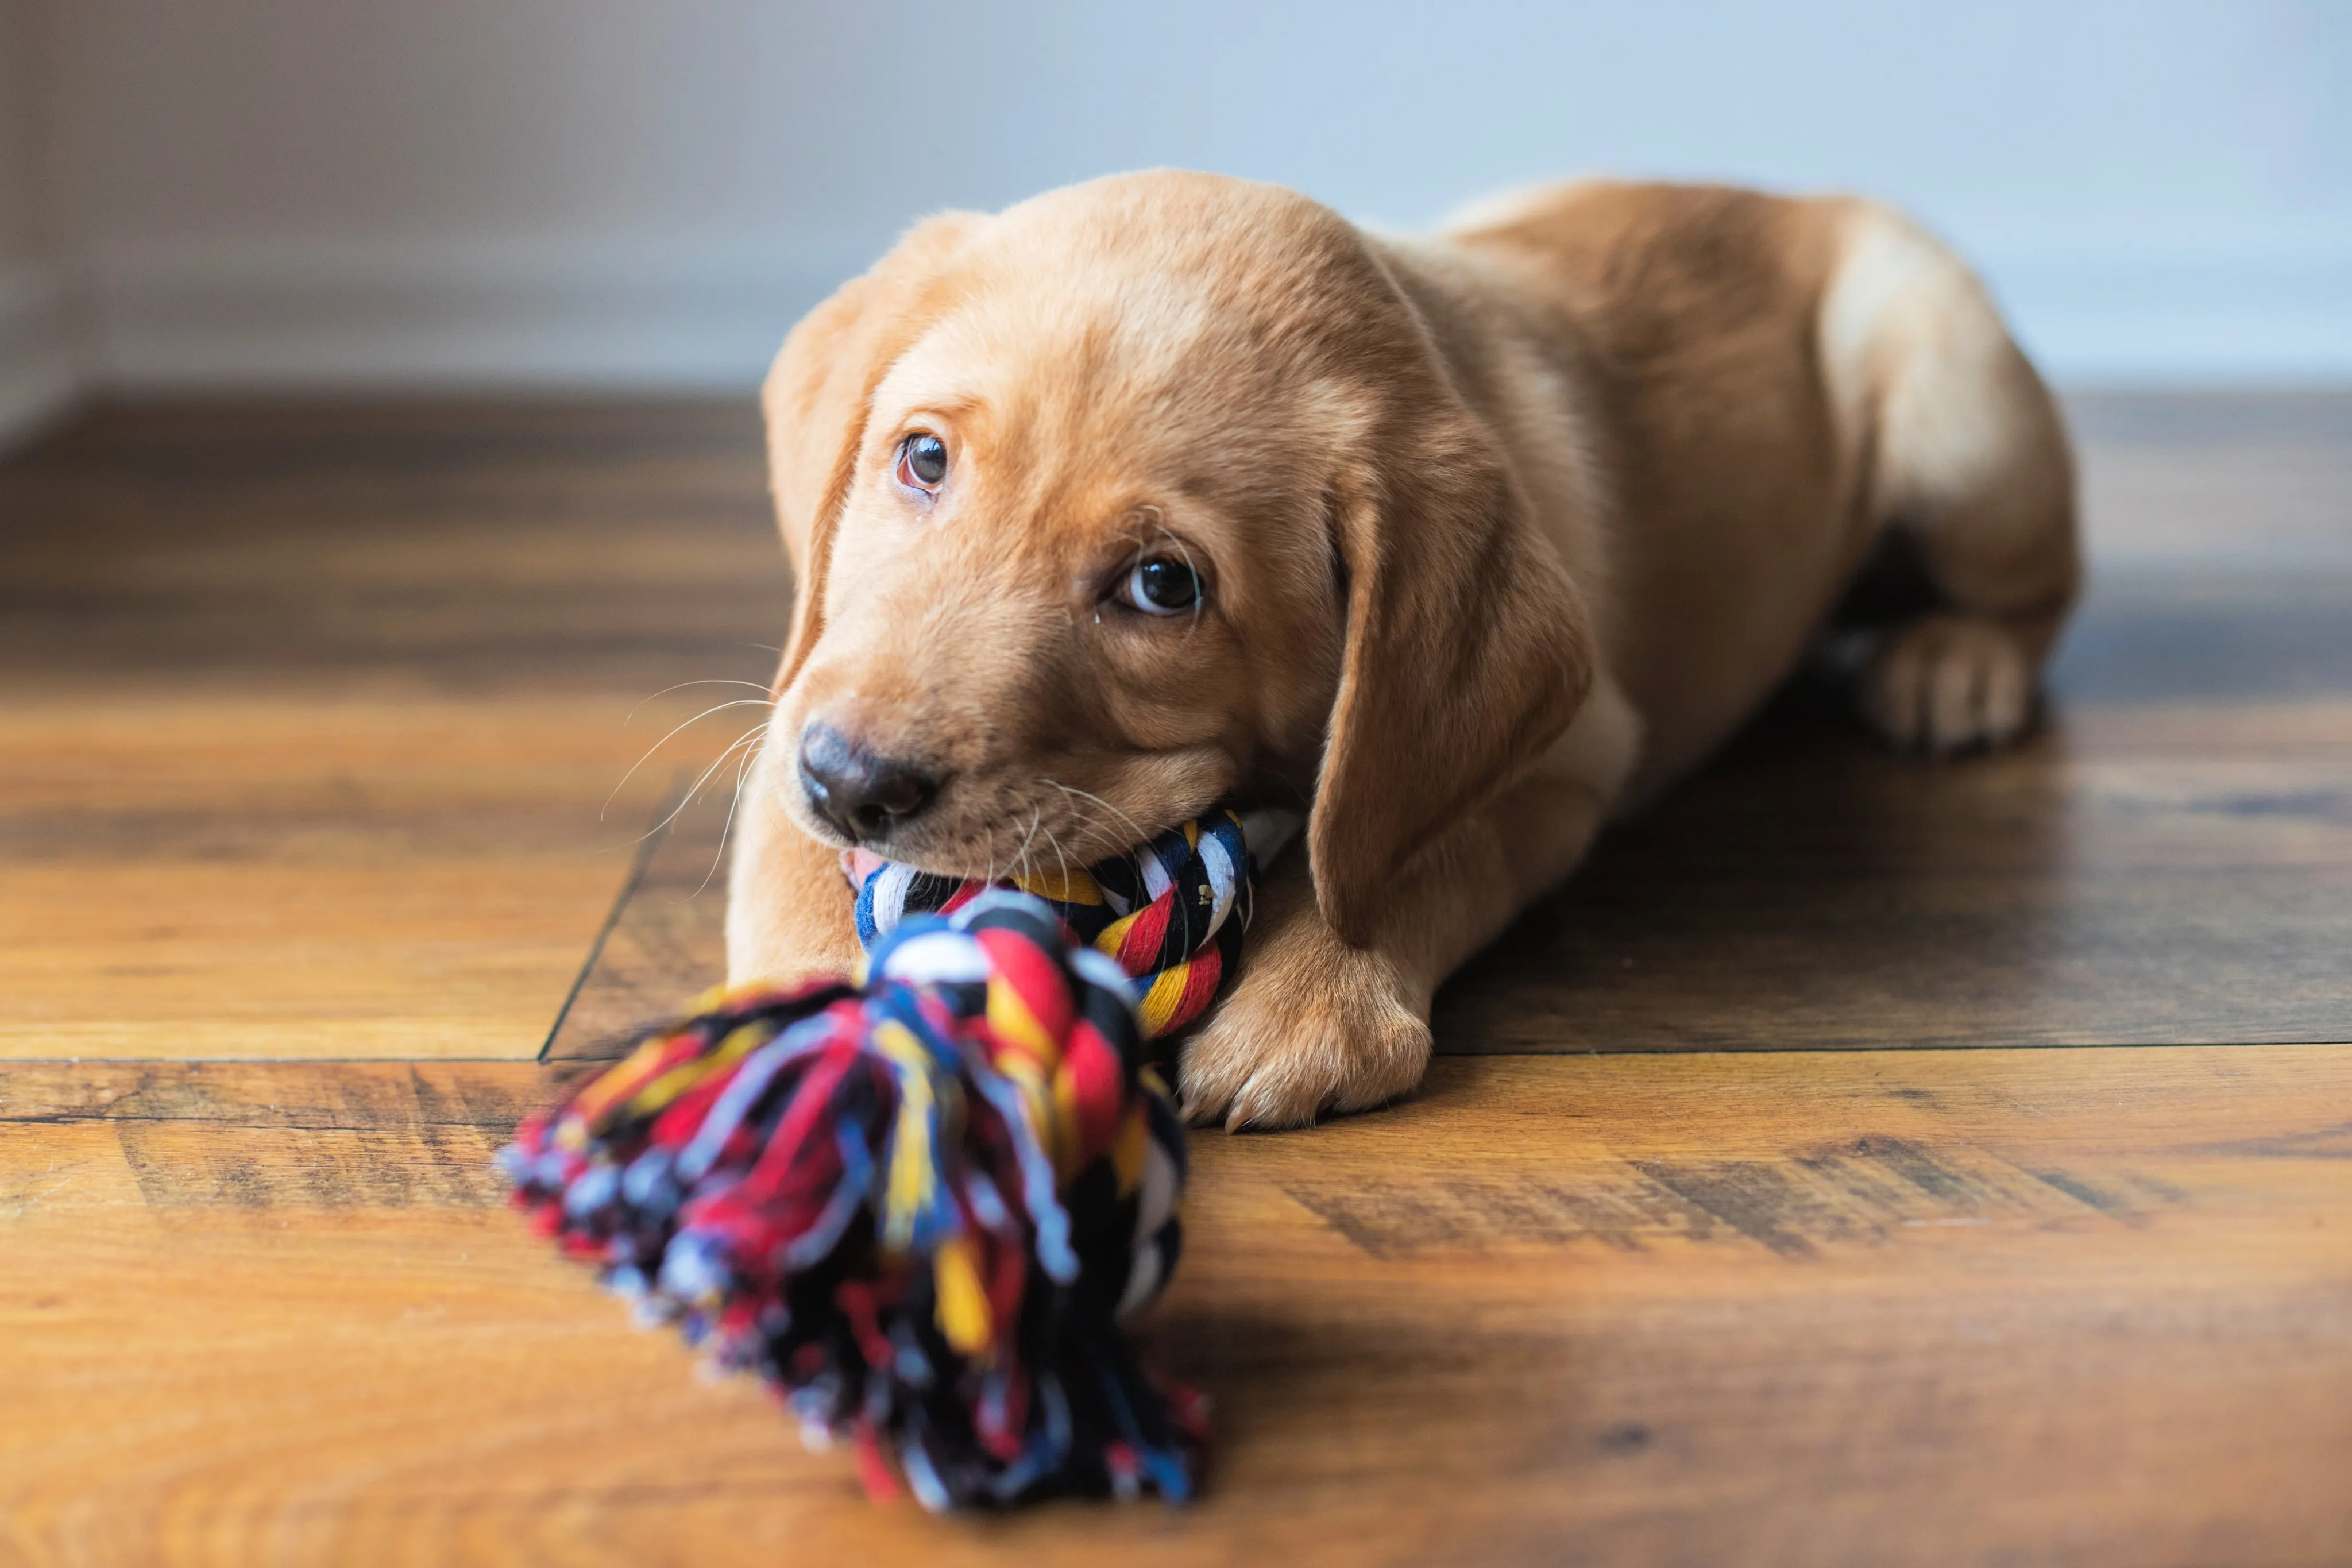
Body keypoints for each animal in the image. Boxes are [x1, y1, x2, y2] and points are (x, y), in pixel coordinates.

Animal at [720, 169, 2079, 1128]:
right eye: (922, 458)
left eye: (1164, 586)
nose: (852, 783)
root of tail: (1804, 201)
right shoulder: (804, 694)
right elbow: (790, 855)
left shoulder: (1568, 760)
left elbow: (1403, 849)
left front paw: (1311, 998)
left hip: (1956, 407)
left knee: (2040, 588)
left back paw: (1952, 664)